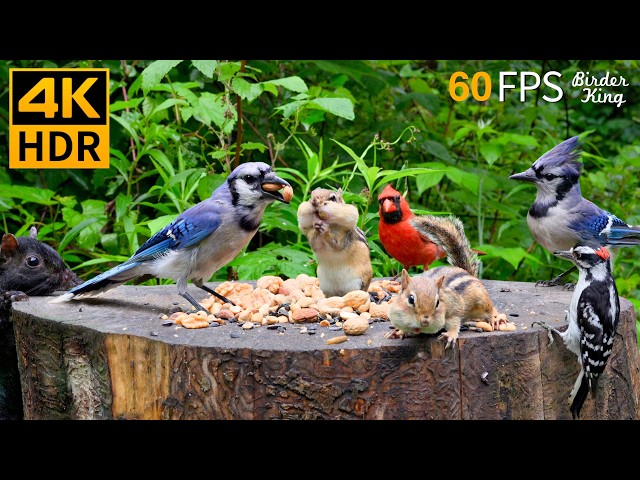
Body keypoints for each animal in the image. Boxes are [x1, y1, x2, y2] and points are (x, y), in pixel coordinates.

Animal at [385, 214, 504, 348]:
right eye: (411, 299)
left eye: (437, 302)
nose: (425, 321)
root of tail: (467, 273)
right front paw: (397, 332)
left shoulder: (454, 309)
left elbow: (454, 323)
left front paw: (450, 335)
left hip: (481, 301)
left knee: (491, 309)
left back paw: (495, 319)